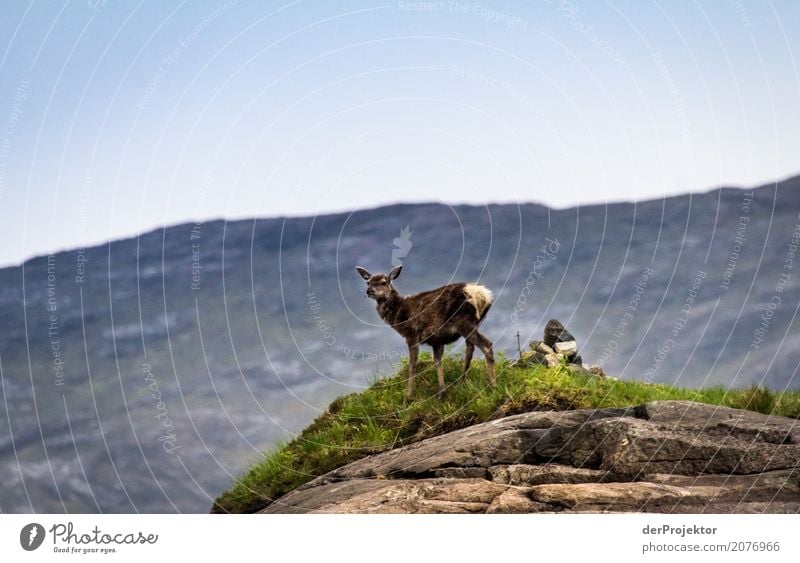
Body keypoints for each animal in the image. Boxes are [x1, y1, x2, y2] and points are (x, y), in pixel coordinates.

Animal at [356, 266, 494, 400]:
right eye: (368, 282)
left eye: (383, 282)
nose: (369, 291)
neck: (399, 315)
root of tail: (484, 295)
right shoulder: (437, 340)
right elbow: (437, 361)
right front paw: (441, 392)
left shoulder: (411, 334)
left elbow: (412, 364)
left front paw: (409, 397)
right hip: (473, 324)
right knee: (470, 349)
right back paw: (462, 382)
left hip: (464, 322)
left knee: (486, 344)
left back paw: (492, 385)